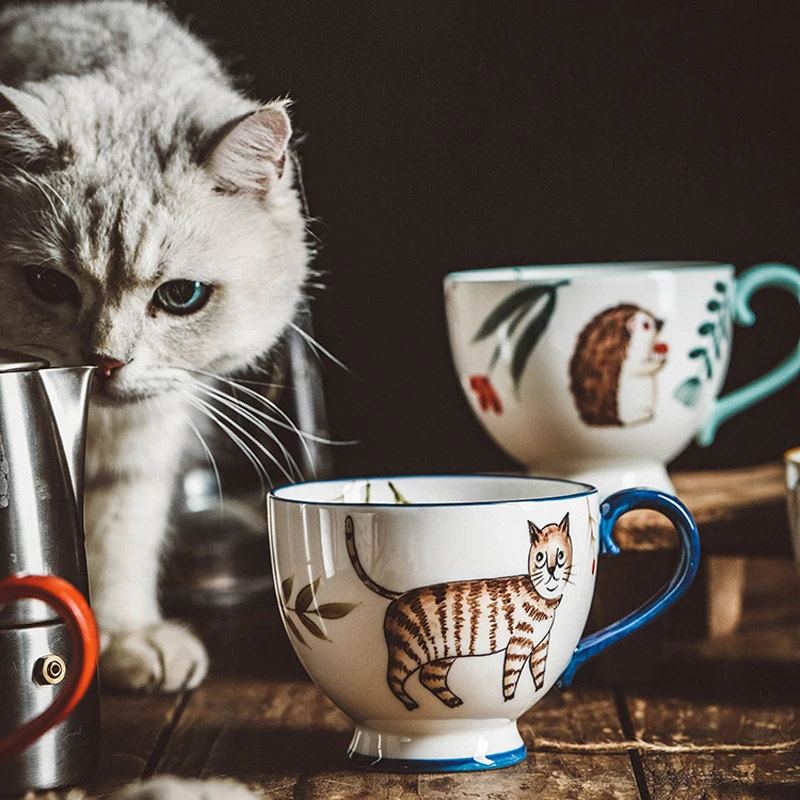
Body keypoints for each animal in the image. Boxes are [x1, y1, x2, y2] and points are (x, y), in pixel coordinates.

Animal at [0, 1, 310, 692]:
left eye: (182, 296)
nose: (106, 361)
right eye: (47, 284)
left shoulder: (145, 434)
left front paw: (124, 636)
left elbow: (120, 533)